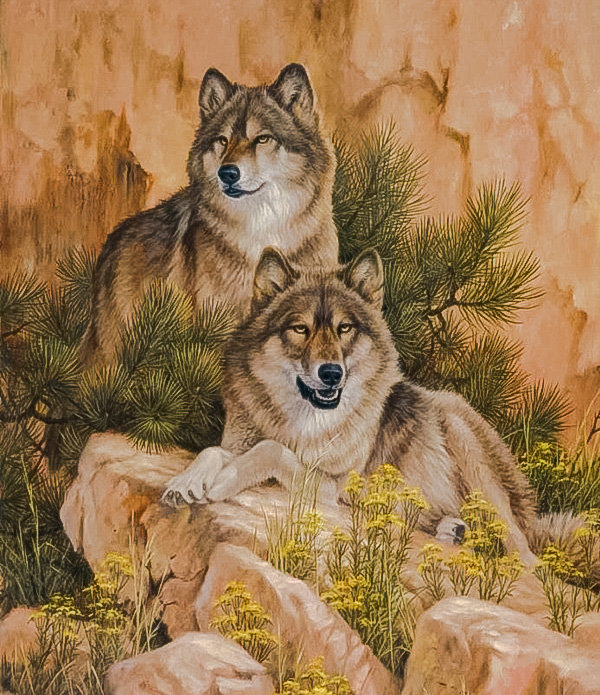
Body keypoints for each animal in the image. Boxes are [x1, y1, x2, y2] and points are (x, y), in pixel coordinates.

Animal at [162, 247, 550, 565]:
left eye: (344, 327)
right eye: (300, 329)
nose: (331, 373)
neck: (301, 422)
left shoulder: (332, 487)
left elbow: (269, 449)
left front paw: (222, 482)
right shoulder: (240, 443)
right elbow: (214, 450)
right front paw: (186, 482)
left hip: (464, 443)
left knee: (522, 547)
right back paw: (452, 529)